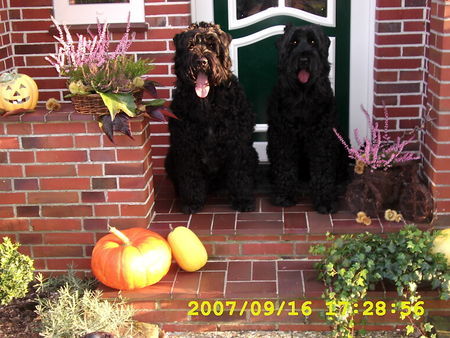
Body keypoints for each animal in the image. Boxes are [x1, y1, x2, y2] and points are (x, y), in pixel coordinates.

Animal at [165, 22, 258, 214]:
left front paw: (243, 200)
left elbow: (240, 173)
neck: (208, 103)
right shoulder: (186, 146)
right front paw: (192, 202)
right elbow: (190, 176)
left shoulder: (238, 144)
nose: (201, 61)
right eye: (190, 45)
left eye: (212, 45)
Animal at [268, 24, 348, 214]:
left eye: (313, 42)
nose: (304, 59)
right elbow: (285, 165)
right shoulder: (283, 136)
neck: (303, 96)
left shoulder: (322, 137)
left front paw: (325, 200)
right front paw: (284, 195)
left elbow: (323, 169)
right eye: (293, 42)